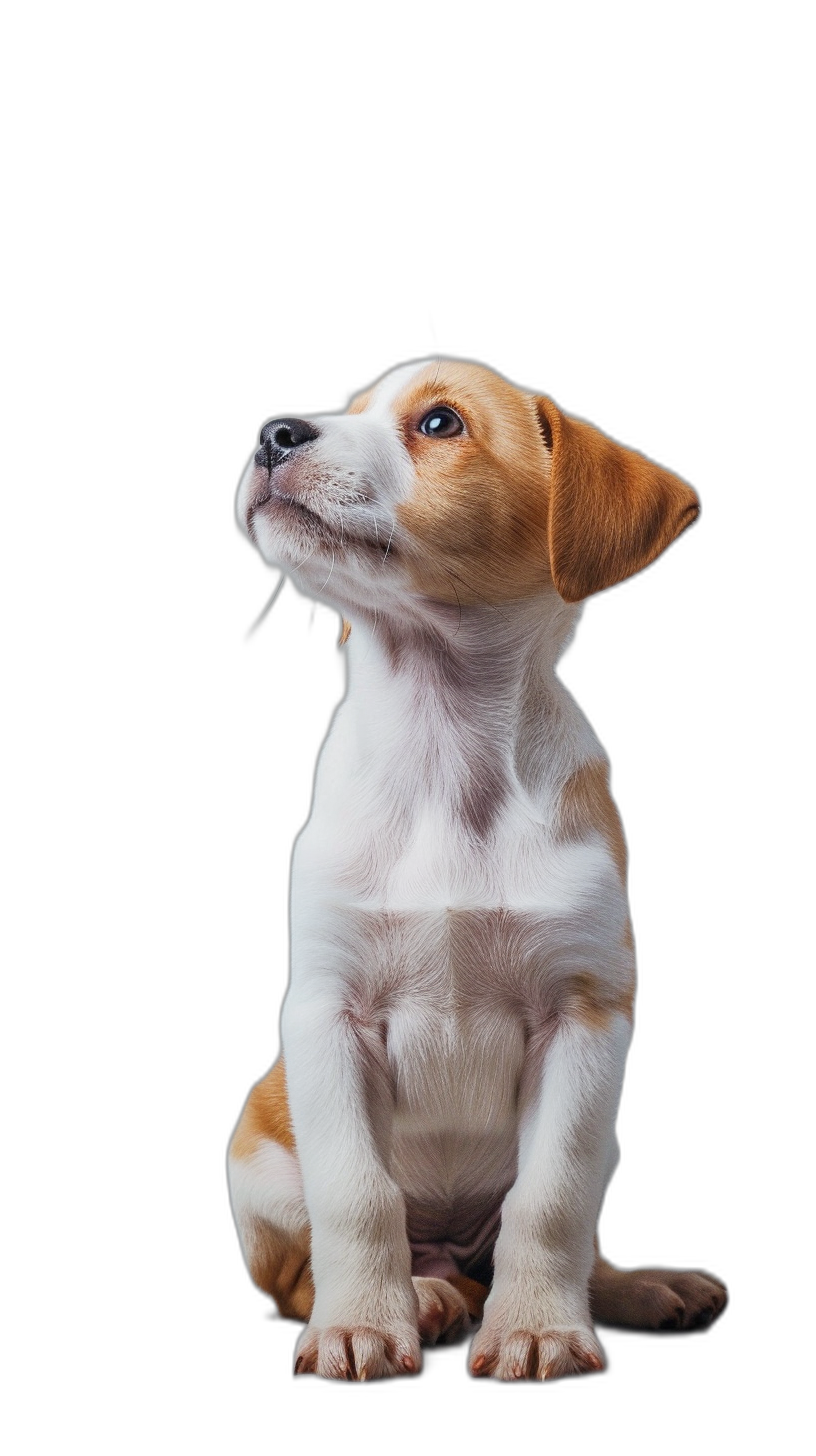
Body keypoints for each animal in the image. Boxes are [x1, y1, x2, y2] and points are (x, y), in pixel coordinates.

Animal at [227, 358, 725, 1380]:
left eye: (440, 423)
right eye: (349, 410)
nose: (274, 433)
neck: (442, 748)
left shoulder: (583, 1019)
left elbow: (553, 1202)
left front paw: (538, 1329)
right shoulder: (327, 1016)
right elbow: (359, 1195)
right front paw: (361, 1326)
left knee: (553, 1239)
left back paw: (635, 1290)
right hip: (258, 1157)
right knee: (307, 1273)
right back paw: (422, 1296)